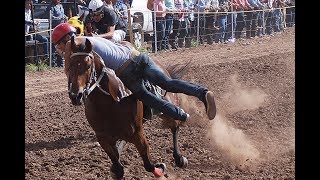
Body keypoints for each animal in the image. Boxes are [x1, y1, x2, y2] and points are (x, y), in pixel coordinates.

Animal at [66, 36, 189, 179]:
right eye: (69, 66)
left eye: (88, 66)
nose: (76, 95)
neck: (107, 104)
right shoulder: (103, 137)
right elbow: (118, 168)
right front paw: (115, 167)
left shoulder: (137, 133)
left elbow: (148, 164)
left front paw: (161, 167)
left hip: (167, 107)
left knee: (175, 126)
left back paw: (180, 157)